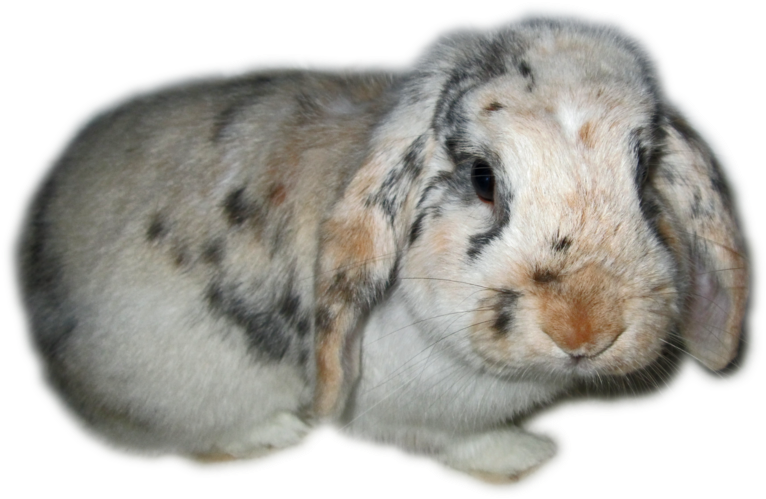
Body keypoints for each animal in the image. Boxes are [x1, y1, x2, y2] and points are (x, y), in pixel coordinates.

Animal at [8, 9, 750, 485]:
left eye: (644, 175)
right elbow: (462, 438)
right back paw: (275, 431)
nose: (585, 328)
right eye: (482, 178)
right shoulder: (419, 412)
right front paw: (529, 454)